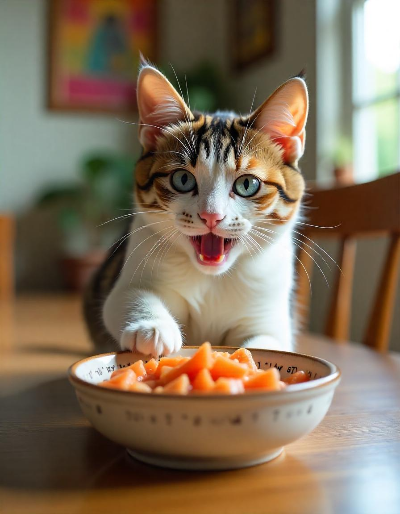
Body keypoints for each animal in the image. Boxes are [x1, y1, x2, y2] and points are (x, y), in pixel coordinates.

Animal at [83, 61, 310, 356]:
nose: (211, 215)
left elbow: (269, 342)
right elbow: (127, 296)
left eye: (247, 184)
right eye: (182, 179)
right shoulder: (135, 264)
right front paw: (153, 327)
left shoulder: (270, 312)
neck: (212, 279)